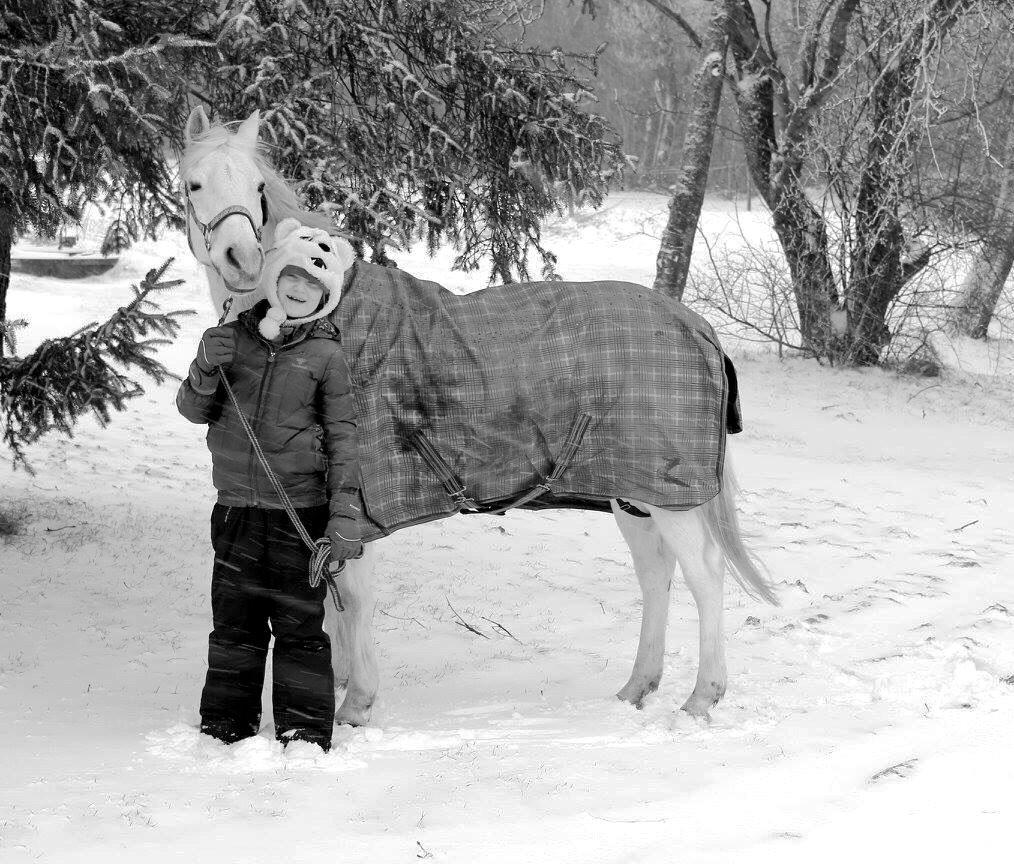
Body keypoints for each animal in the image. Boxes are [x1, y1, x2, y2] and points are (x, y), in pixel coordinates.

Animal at [180, 107, 774, 730]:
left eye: (258, 188)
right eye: (194, 183)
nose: (243, 260)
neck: (321, 322)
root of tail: (699, 328)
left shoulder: (354, 506)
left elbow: (356, 598)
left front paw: (357, 704)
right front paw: (341, 678)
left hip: (669, 495)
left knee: (705, 576)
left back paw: (703, 696)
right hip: (631, 492)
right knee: (656, 574)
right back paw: (637, 687)